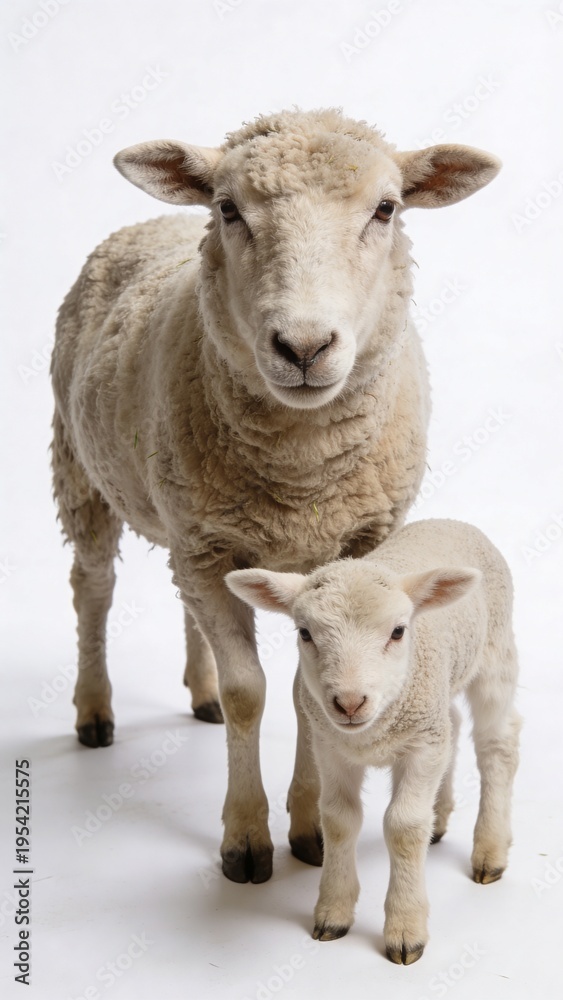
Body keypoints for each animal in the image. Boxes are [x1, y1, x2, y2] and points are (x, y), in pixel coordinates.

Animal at [50, 108, 501, 884]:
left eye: (386, 209)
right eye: (229, 209)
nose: (304, 347)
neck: (300, 473)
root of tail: (150, 220)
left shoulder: (343, 547)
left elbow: (298, 689)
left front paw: (310, 830)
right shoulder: (206, 549)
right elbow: (249, 692)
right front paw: (246, 840)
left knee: (182, 608)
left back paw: (196, 693)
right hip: (81, 468)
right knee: (94, 588)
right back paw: (95, 713)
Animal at [226, 518, 521, 959]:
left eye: (398, 632)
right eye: (304, 633)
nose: (349, 703)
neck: (370, 734)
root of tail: (450, 520)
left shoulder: (421, 744)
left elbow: (404, 825)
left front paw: (405, 927)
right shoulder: (330, 748)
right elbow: (338, 819)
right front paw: (333, 912)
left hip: (494, 655)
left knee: (497, 745)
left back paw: (490, 850)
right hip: (439, 695)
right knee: (452, 722)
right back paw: (441, 817)